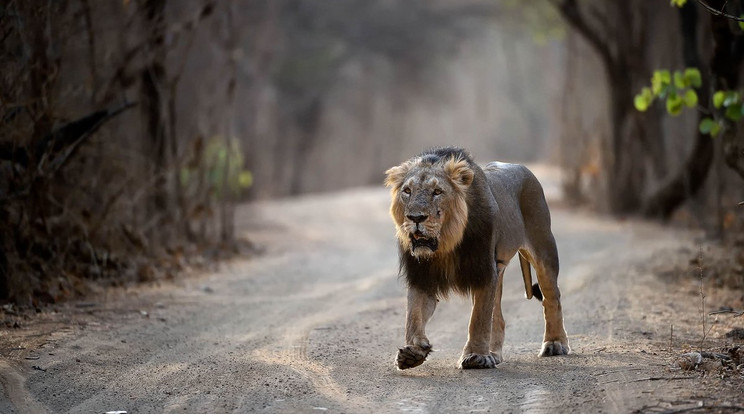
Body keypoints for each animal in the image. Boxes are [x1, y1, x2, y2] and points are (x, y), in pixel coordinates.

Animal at [384, 147, 568, 370]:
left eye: (437, 192)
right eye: (407, 191)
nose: (416, 218)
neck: (446, 244)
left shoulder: (484, 271)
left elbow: (478, 319)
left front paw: (475, 356)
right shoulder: (421, 276)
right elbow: (414, 315)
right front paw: (413, 352)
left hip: (543, 248)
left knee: (552, 297)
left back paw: (555, 343)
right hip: (500, 269)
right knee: (498, 317)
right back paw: (494, 353)